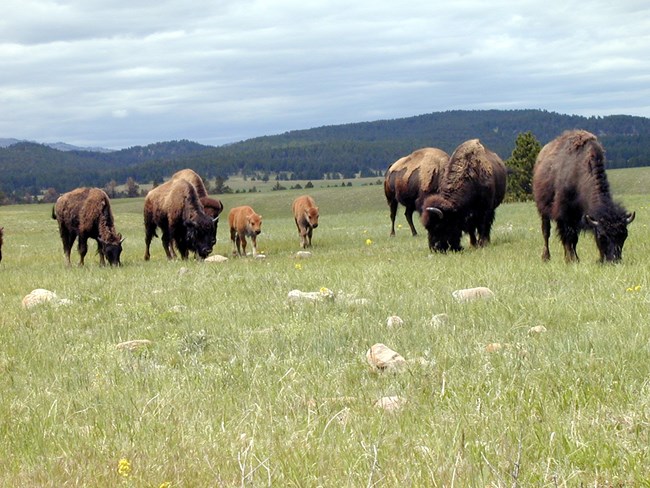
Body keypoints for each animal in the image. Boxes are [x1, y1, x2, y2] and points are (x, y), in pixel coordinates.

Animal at [532, 127, 632, 262]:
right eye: (601, 236)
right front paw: (572, 260)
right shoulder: (565, 214)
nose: (614, 260)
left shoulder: (578, 218)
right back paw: (546, 257)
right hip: (543, 211)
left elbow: (574, 240)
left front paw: (575, 258)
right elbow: (569, 237)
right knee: (546, 232)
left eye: (624, 235)